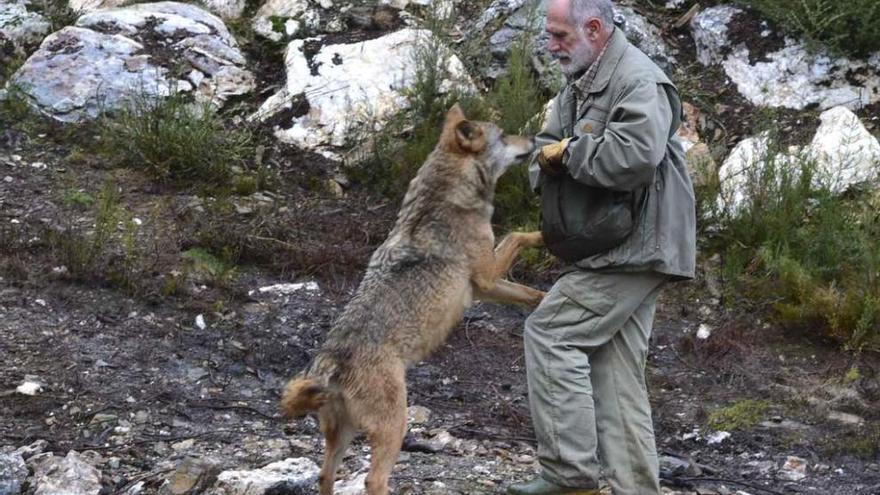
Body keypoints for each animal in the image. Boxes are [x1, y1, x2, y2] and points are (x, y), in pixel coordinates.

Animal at [280, 105, 544, 495]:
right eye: (504, 135)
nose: (535, 138)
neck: (447, 192)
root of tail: (330, 364)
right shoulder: (487, 275)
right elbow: (518, 234)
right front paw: (544, 235)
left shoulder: (485, 285)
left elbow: (529, 292)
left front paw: (544, 297)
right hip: (394, 426)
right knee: (373, 480)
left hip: (342, 435)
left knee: (325, 476)